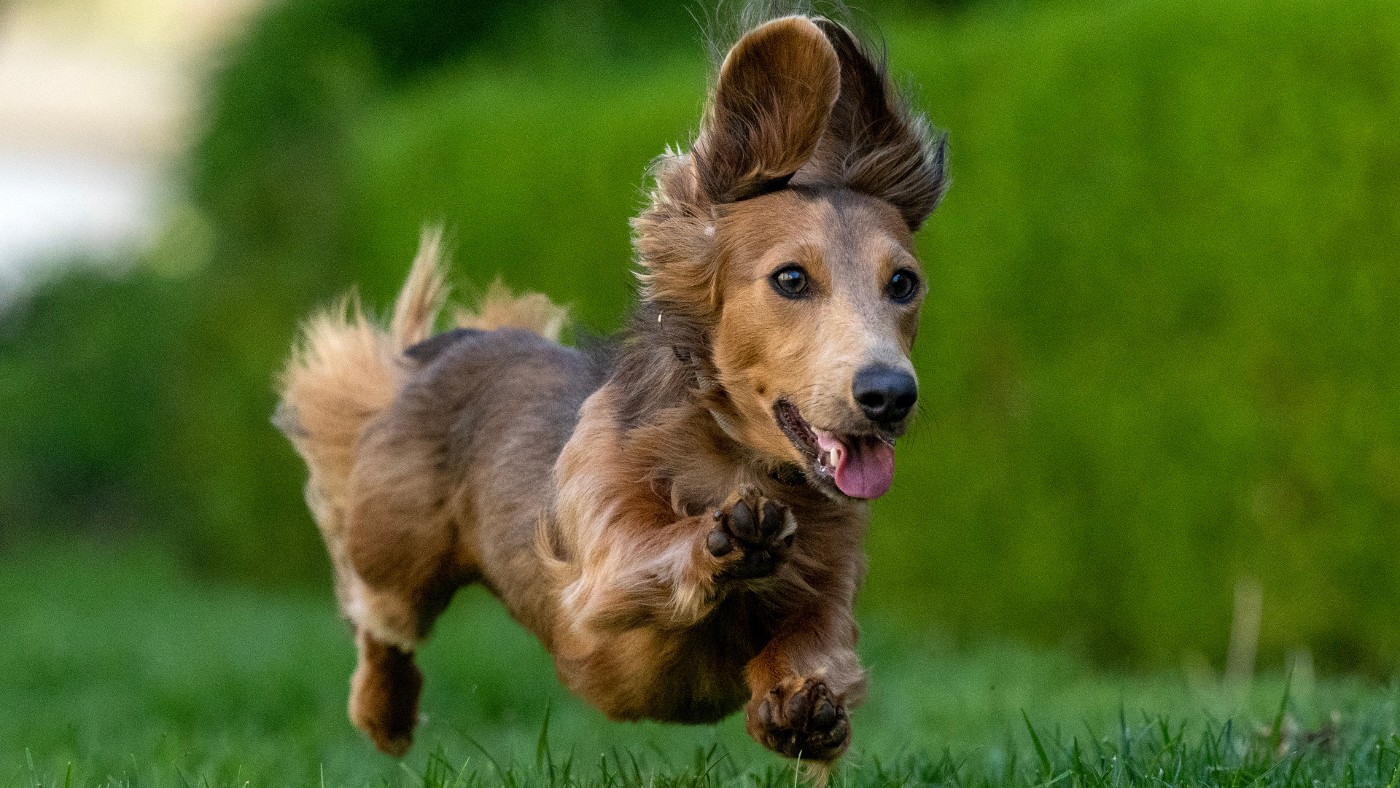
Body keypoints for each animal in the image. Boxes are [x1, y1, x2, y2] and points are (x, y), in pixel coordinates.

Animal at [271, 7, 946, 772]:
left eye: (903, 283)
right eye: (792, 279)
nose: (890, 394)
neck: (734, 459)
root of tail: (458, 343)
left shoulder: (830, 588)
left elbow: (815, 644)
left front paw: (802, 709)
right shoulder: (598, 566)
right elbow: (645, 552)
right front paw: (724, 540)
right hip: (395, 548)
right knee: (379, 622)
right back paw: (385, 715)